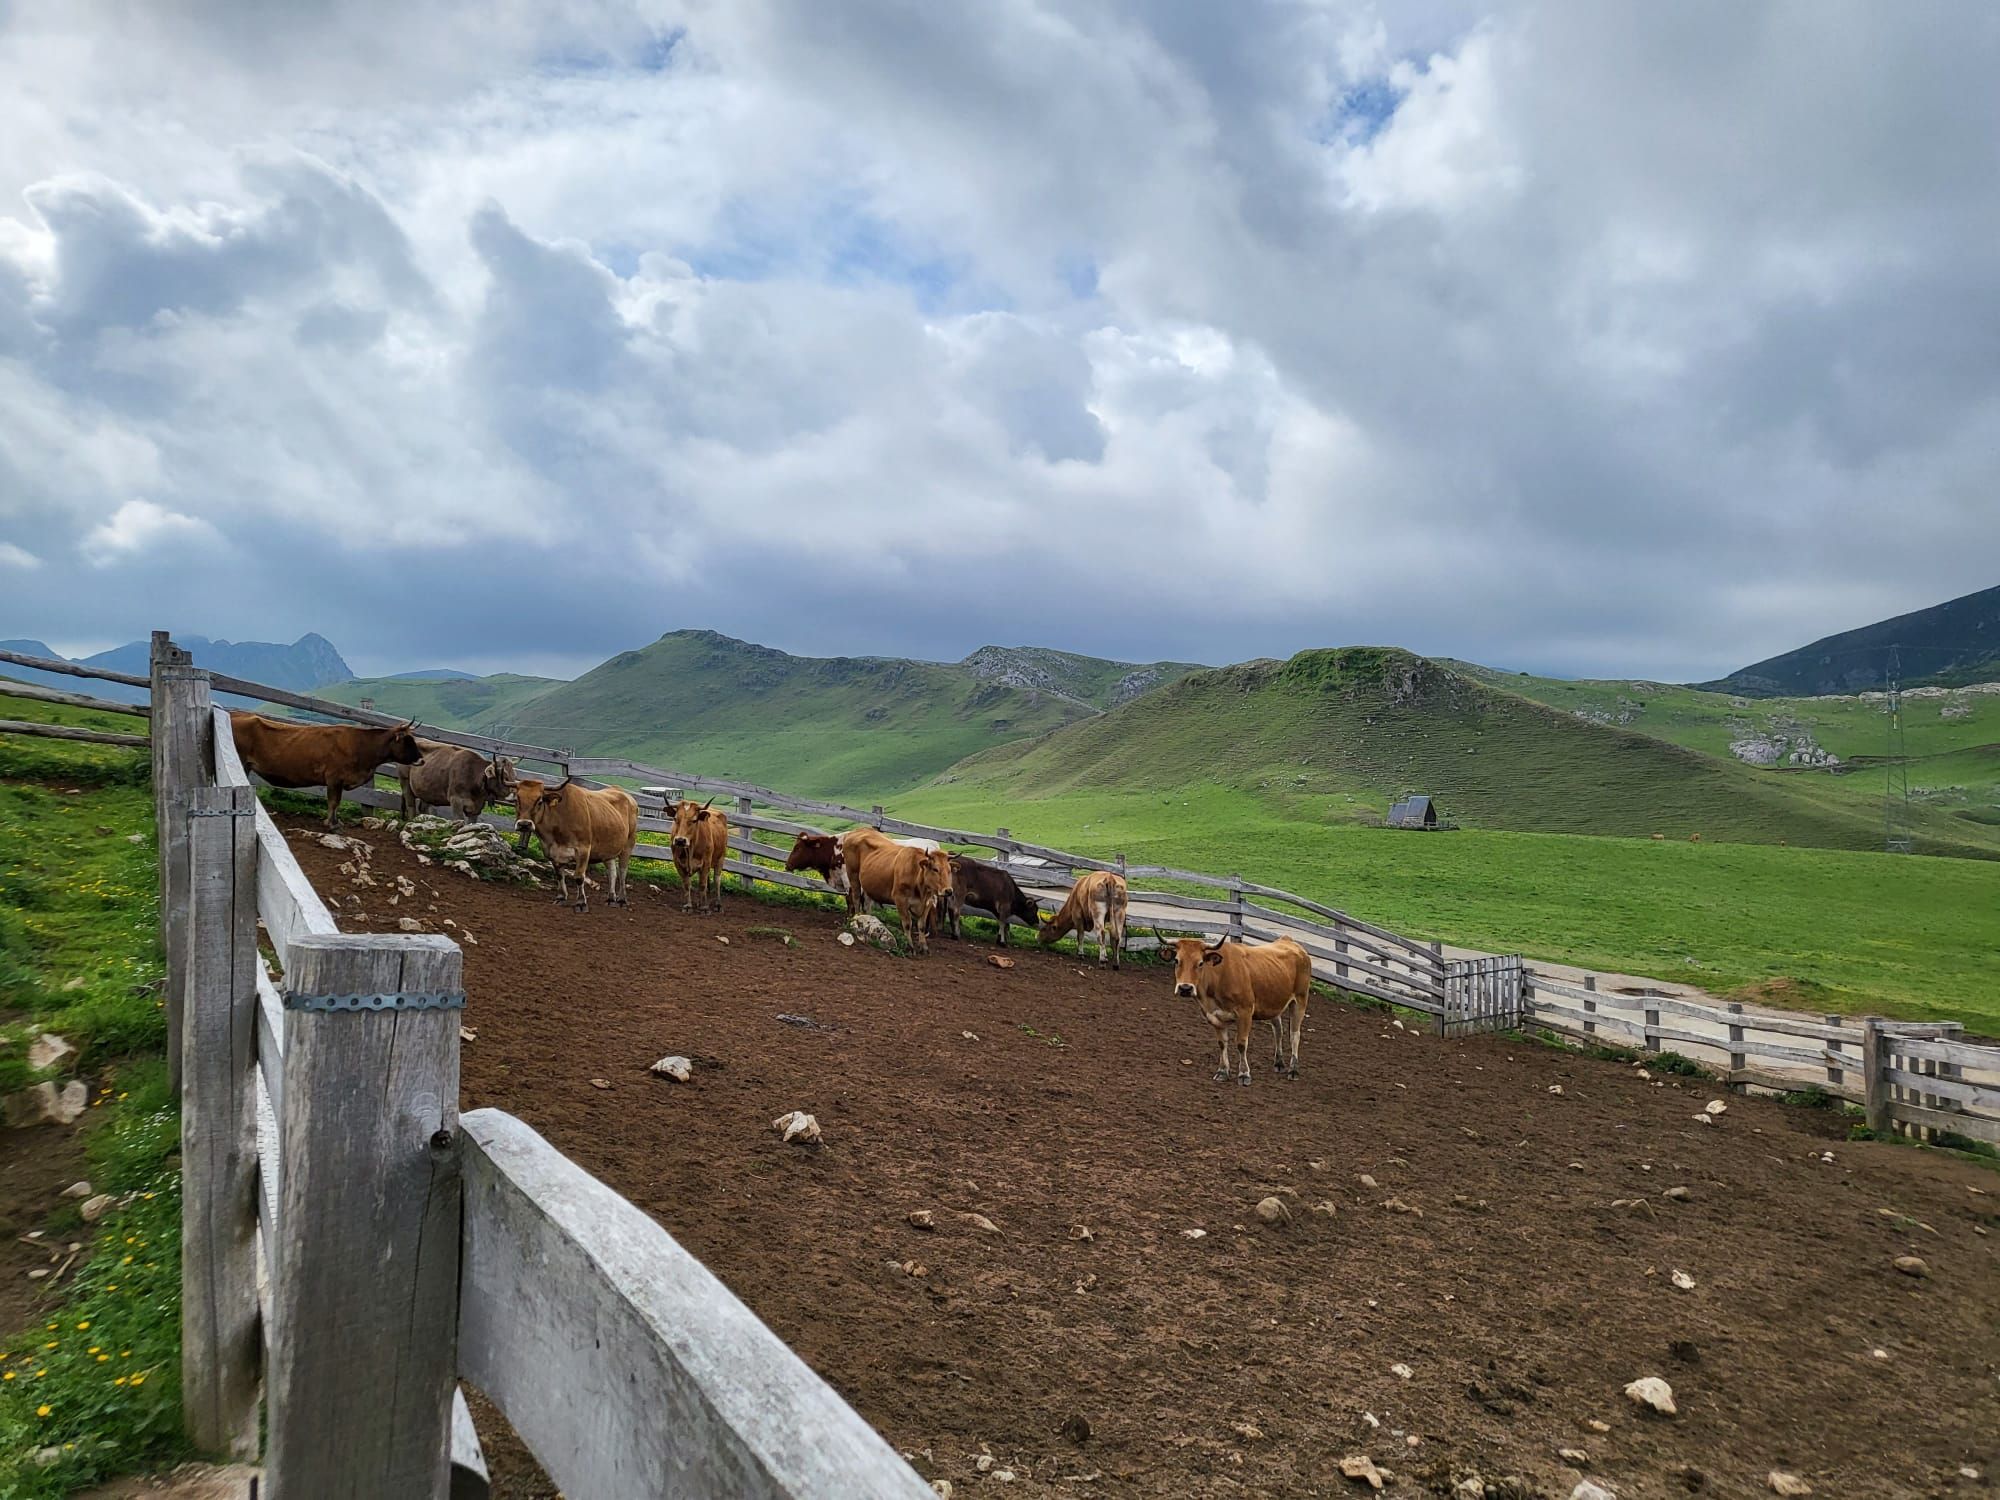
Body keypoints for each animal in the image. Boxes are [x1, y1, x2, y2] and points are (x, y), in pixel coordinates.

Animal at [229, 712, 424, 828]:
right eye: (407, 741)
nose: (421, 760)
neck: (361, 746)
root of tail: (237, 714)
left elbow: (337, 802)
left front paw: (336, 822)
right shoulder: (334, 778)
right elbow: (333, 802)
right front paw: (330, 824)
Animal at [512, 780, 636, 912]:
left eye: (539, 801)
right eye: (516, 800)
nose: (524, 824)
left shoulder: (583, 849)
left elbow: (579, 877)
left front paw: (581, 903)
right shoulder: (551, 851)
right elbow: (559, 875)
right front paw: (561, 897)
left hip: (628, 845)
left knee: (622, 871)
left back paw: (622, 899)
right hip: (608, 849)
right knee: (612, 872)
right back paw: (610, 899)